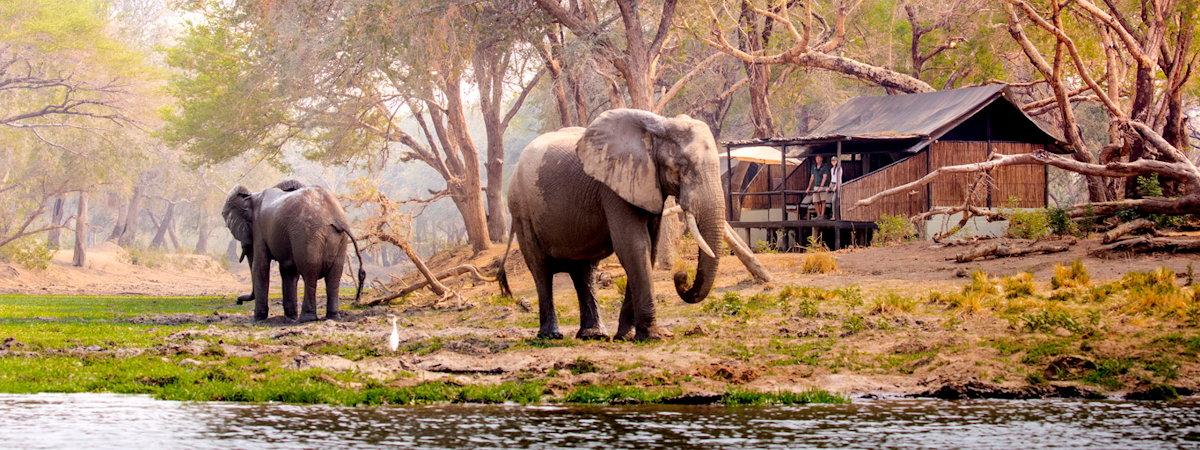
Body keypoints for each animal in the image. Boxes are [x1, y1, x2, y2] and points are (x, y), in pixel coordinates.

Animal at [223, 180, 364, 321]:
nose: (238, 301)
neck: (251, 196)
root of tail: (334, 217)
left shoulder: (259, 229)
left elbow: (260, 267)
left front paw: (258, 319)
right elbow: (288, 270)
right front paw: (290, 317)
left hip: (307, 235)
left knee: (309, 274)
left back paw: (306, 319)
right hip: (339, 239)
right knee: (334, 277)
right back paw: (332, 317)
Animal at [496, 109, 720, 340]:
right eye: (681, 167)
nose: (681, 276)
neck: (659, 126)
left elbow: (649, 248)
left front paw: (626, 336)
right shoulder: (613, 189)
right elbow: (633, 246)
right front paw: (653, 336)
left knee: (583, 272)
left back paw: (593, 335)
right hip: (521, 210)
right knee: (541, 268)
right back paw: (550, 336)